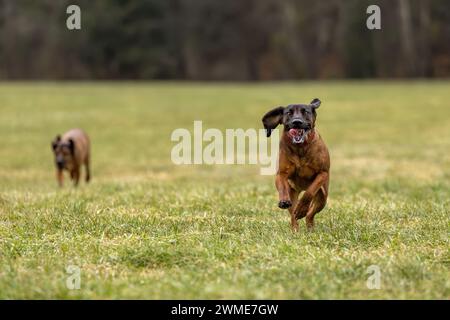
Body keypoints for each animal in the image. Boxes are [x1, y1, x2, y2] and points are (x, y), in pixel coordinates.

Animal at [262, 99, 328, 231]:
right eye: (289, 113)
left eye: (305, 111)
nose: (297, 122)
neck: (300, 148)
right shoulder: (281, 174)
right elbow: (282, 186)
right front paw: (284, 201)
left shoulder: (323, 173)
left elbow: (309, 192)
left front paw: (302, 208)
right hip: (293, 192)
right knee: (293, 214)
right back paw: (295, 230)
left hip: (323, 197)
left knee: (310, 214)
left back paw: (308, 225)